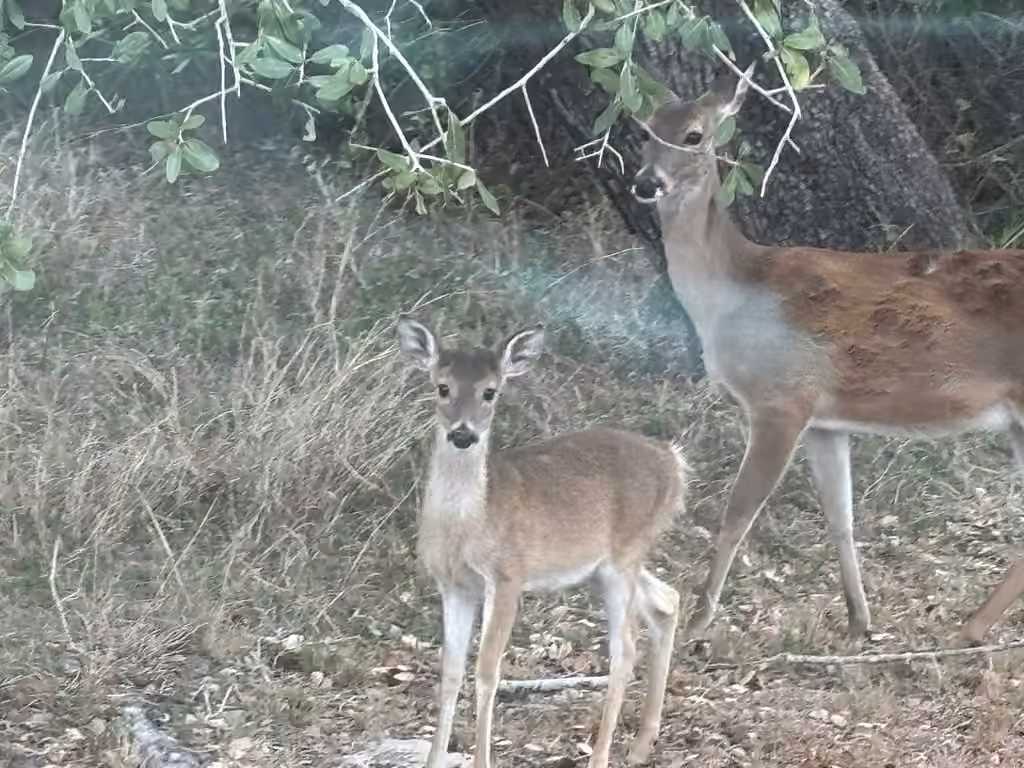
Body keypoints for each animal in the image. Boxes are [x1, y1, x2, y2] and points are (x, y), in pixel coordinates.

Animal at [395, 315, 688, 768]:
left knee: (624, 650)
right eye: (442, 387)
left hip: (624, 555)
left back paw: (601, 756)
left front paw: (482, 760)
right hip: (608, 565)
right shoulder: (453, 585)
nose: (463, 434)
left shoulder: (507, 575)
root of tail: (674, 461)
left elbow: (487, 671)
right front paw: (433, 759)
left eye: (490, 392)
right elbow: (449, 672)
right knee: (667, 600)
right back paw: (641, 745)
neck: (469, 524)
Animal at [629, 64, 1024, 647]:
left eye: (694, 135)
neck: (734, 290)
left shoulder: (781, 399)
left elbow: (737, 513)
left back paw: (970, 627)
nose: (645, 183)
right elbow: (841, 517)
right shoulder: (825, 420)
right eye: (643, 131)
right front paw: (860, 621)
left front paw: (699, 623)